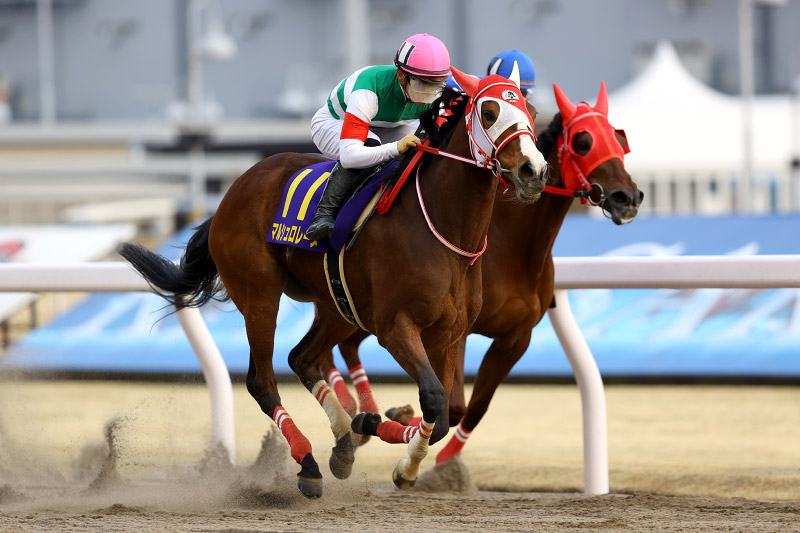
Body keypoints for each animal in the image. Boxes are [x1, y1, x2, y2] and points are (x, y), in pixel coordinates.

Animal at [119, 67, 552, 498]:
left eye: (531, 111)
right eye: (489, 112)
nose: (534, 171)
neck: (443, 230)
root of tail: (233, 190)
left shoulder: (449, 333)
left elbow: (444, 415)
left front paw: (394, 451)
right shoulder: (395, 327)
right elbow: (432, 398)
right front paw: (395, 450)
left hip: (339, 307)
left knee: (302, 358)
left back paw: (347, 437)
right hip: (260, 296)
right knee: (262, 381)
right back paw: (309, 461)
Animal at [322, 80, 640, 466]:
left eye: (620, 139)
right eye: (583, 141)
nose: (628, 197)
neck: (511, 245)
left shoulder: (516, 336)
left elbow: (474, 408)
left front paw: (431, 446)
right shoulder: (457, 330)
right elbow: (454, 404)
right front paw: (407, 425)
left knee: (341, 345)